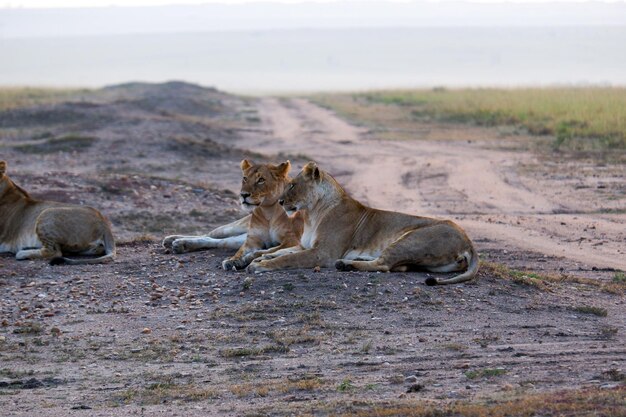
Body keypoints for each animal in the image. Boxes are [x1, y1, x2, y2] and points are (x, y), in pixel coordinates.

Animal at [162, 159, 302, 270]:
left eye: (261, 180)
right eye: (245, 178)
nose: (243, 195)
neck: (267, 211)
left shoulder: (291, 241)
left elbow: (262, 252)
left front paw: (244, 260)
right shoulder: (252, 240)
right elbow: (241, 252)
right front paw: (233, 260)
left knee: (217, 241)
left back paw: (180, 244)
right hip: (235, 227)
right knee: (210, 235)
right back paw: (174, 240)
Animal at [247, 161, 478, 284]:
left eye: (293, 185)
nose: (280, 201)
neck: (311, 214)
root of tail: (469, 242)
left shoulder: (324, 253)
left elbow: (287, 258)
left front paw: (261, 265)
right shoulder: (306, 246)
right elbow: (282, 251)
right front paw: (259, 257)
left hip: (411, 239)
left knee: (384, 265)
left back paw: (345, 264)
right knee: (398, 266)